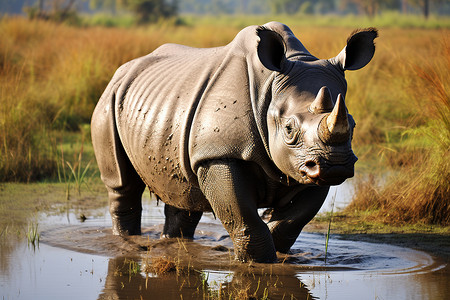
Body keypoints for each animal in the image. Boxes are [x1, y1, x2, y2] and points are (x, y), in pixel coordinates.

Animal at [90, 21, 376, 262]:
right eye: (288, 129)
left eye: (352, 125)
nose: (336, 164)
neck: (270, 88)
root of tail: (121, 71)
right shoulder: (220, 153)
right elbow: (243, 217)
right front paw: (257, 262)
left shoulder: (307, 165)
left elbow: (292, 220)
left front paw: (276, 249)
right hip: (109, 101)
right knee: (122, 184)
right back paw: (127, 242)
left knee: (183, 190)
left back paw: (172, 244)